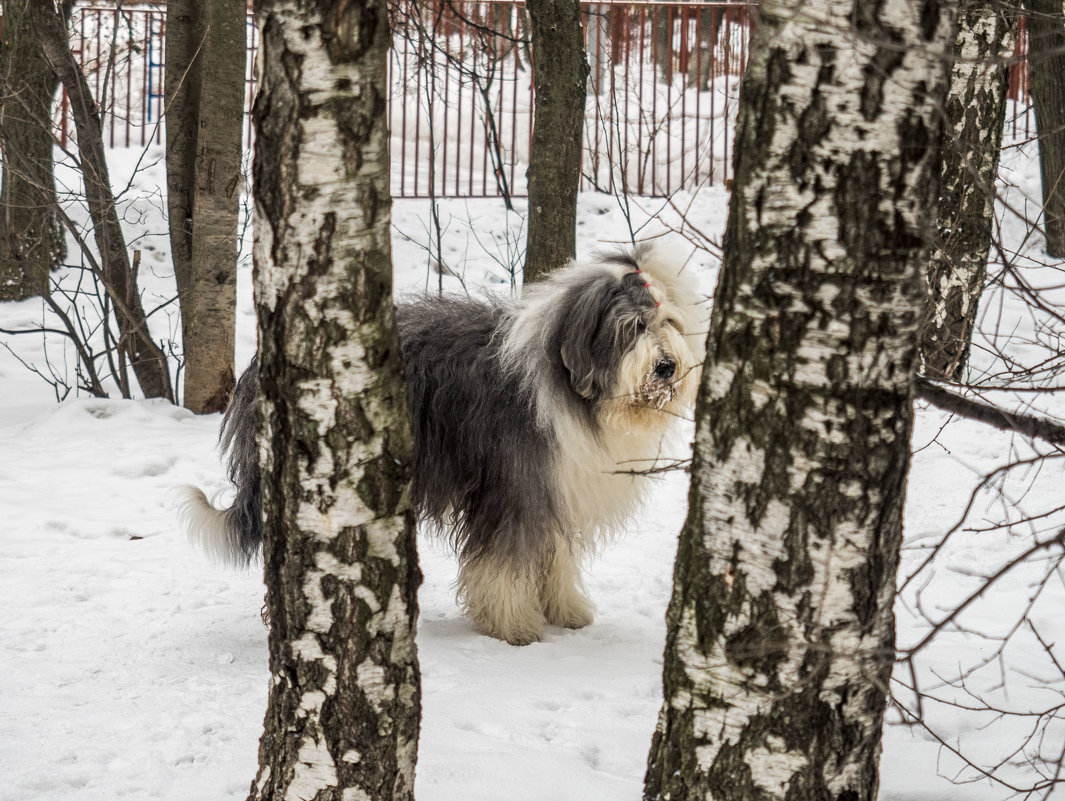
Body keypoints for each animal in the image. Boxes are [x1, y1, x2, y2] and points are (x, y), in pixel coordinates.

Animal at [178, 246, 702, 643]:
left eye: (670, 323)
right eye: (632, 328)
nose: (666, 367)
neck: (570, 386)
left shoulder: (556, 486)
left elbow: (554, 555)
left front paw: (566, 611)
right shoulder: (514, 486)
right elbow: (506, 559)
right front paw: (514, 625)